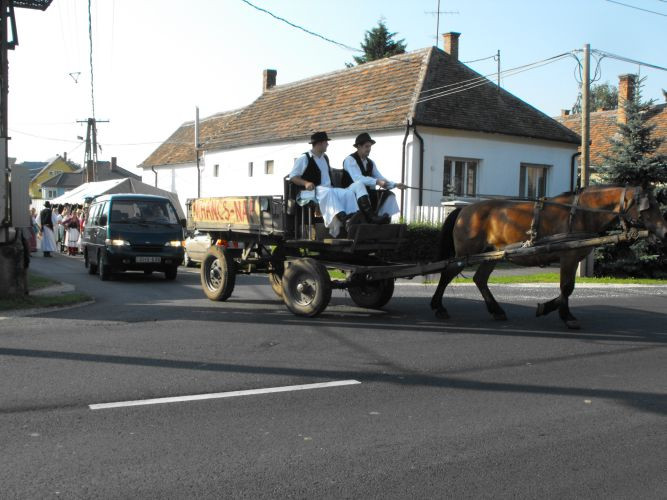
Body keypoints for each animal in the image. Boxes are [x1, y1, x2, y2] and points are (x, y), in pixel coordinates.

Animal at [430, 186, 664, 330]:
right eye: (649, 206)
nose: (664, 231)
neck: (581, 212)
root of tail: (464, 209)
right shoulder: (568, 256)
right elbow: (567, 288)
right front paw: (567, 317)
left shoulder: (573, 258)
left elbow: (566, 289)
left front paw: (547, 307)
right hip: (465, 254)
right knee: (447, 274)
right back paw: (438, 307)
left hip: (491, 255)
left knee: (480, 279)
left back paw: (496, 310)